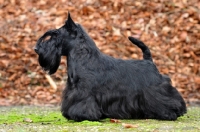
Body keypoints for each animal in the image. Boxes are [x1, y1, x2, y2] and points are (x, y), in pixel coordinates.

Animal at [34, 12, 186, 121]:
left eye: (55, 35)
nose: (36, 48)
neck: (85, 58)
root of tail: (149, 61)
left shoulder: (84, 93)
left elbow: (83, 105)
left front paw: (82, 115)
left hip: (156, 91)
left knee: (169, 100)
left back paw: (170, 113)